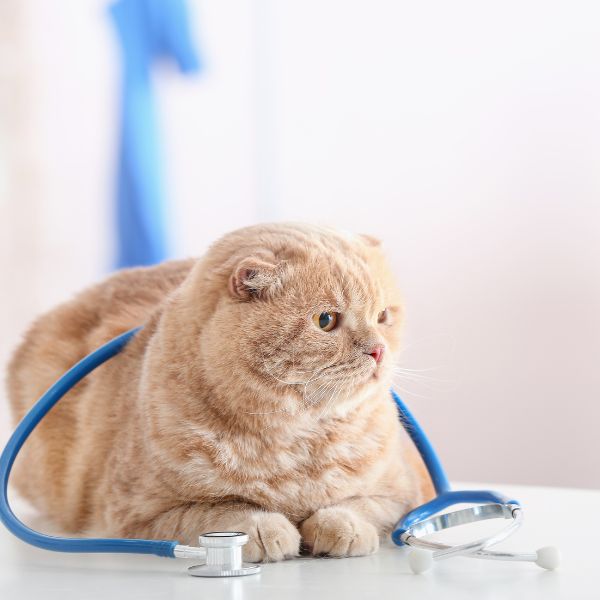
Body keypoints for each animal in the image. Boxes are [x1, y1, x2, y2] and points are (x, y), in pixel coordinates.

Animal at [7, 223, 434, 560]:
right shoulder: (139, 515)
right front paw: (265, 528)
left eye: (383, 316)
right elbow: (217, 511)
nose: (378, 350)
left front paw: (341, 525)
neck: (296, 442)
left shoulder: (404, 493)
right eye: (325, 321)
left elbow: (361, 506)